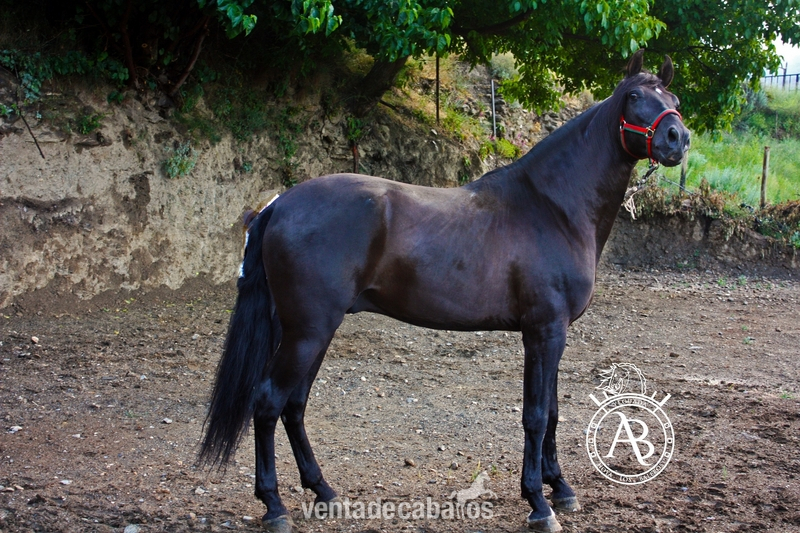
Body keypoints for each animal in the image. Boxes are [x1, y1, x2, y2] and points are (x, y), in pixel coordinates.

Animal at [200, 50, 690, 533]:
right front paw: (538, 502)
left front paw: (561, 489)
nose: (677, 138)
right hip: (307, 331)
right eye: (633, 97)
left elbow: (551, 411)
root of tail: (280, 204)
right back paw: (274, 506)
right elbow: (535, 415)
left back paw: (324, 492)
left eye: (674, 98)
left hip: (311, 332)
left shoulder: (553, 334)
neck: (551, 208)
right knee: (268, 402)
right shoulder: (544, 331)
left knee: (294, 406)